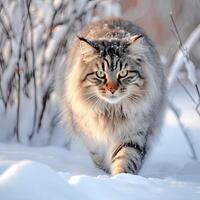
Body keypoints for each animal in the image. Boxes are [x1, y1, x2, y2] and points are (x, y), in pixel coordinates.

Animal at [58, 17, 166, 175]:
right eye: (100, 74)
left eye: (123, 73)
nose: (112, 89)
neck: (111, 112)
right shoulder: (92, 138)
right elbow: (99, 157)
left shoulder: (134, 134)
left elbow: (125, 159)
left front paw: (121, 178)